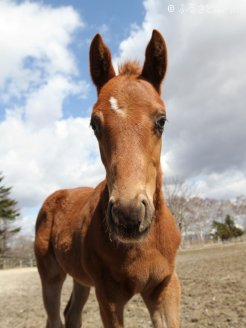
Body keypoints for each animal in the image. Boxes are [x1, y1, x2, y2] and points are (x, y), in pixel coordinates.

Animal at [34, 30, 181, 328]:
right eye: (94, 124)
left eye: (161, 120)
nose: (129, 215)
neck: (143, 247)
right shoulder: (109, 298)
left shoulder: (165, 287)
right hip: (51, 275)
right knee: (55, 318)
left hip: (80, 279)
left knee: (72, 315)